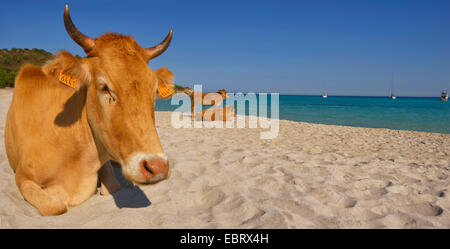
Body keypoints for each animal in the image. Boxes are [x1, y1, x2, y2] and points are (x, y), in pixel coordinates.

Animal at [3, 5, 176, 216]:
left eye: (153, 90)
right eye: (104, 87)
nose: (157, 167)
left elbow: (113, 186)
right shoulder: (22, 176)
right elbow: (55, 206)